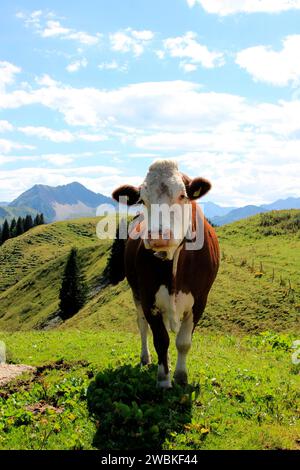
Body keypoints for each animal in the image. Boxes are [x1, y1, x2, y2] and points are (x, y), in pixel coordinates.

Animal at [112, 160, 220, 388]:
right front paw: (163, 379)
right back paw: (146, 358)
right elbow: (161, 340)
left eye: (182, 195)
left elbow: (183, 342)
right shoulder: (147, 298)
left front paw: (180, 376)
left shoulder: (200, 301)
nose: (158, 235)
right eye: (143, 200)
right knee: (142, 325)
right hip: (135, 293)